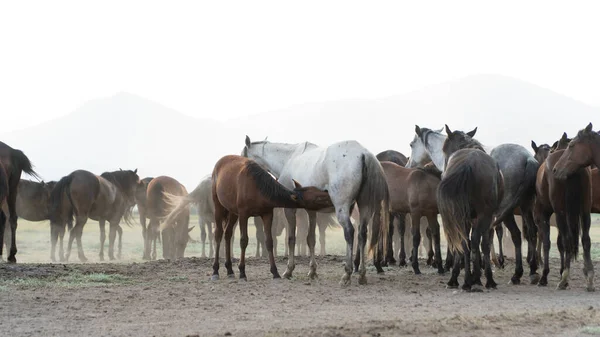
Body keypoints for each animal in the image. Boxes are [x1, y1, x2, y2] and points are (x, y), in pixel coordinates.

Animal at [436, 124, 502, 290]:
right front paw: (480, 276)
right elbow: (483, 244)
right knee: (477, 242)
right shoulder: (486, 219)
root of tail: (468, 164)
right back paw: (479, 279)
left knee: (465, 243)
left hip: (462, 216)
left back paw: (462, 280)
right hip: (484, 216)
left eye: (444, 149)